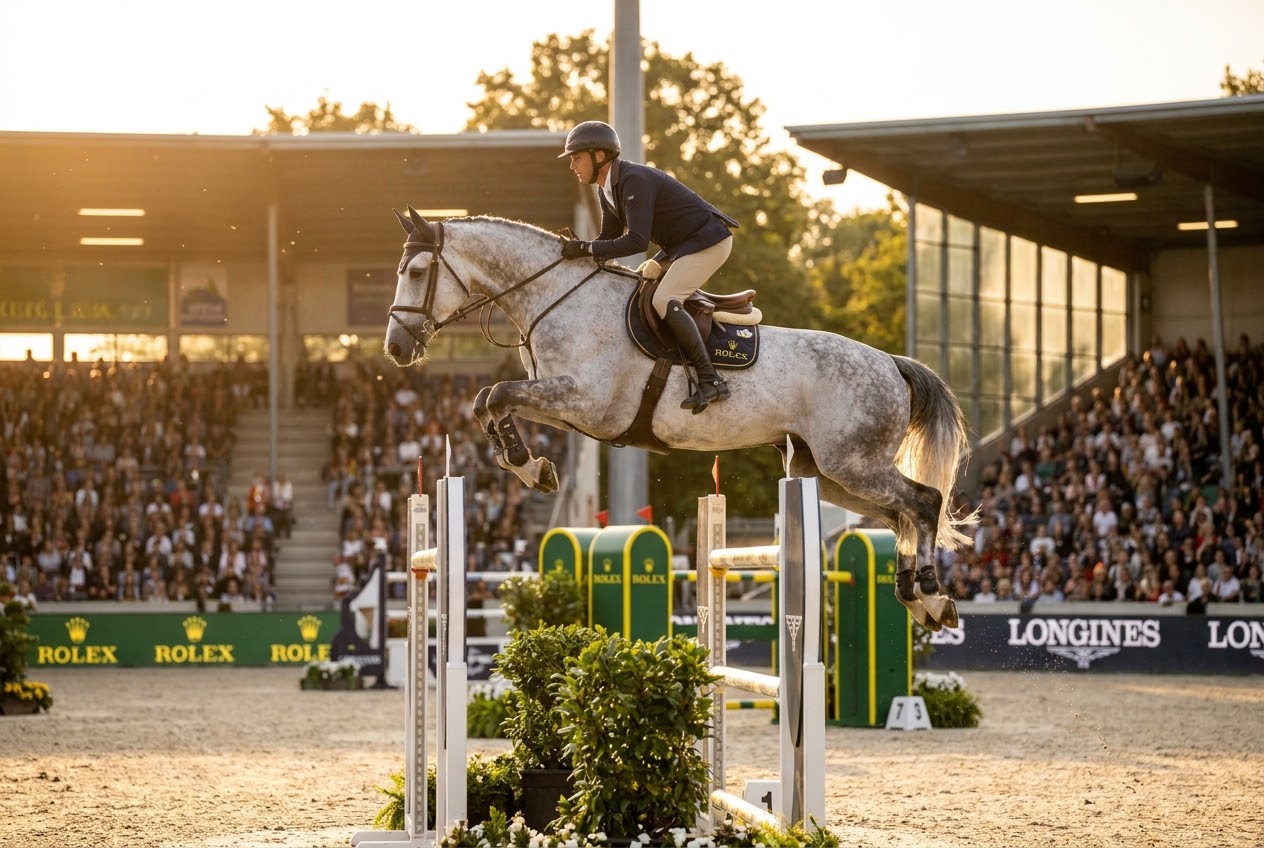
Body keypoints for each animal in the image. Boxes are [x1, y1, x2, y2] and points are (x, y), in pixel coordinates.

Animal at [383, 207, 974, 631]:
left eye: (417, 272)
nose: (395, 348)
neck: (558, 298)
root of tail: (891, 364)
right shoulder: (569, 410)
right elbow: (490, 400)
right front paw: (534, 467)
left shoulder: (584, 400)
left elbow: (496, 393)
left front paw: (529, 467)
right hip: (828, 476)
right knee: (900, 515)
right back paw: (920, 600)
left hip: (852, 462)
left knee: (923, 502)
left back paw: (928, 592)